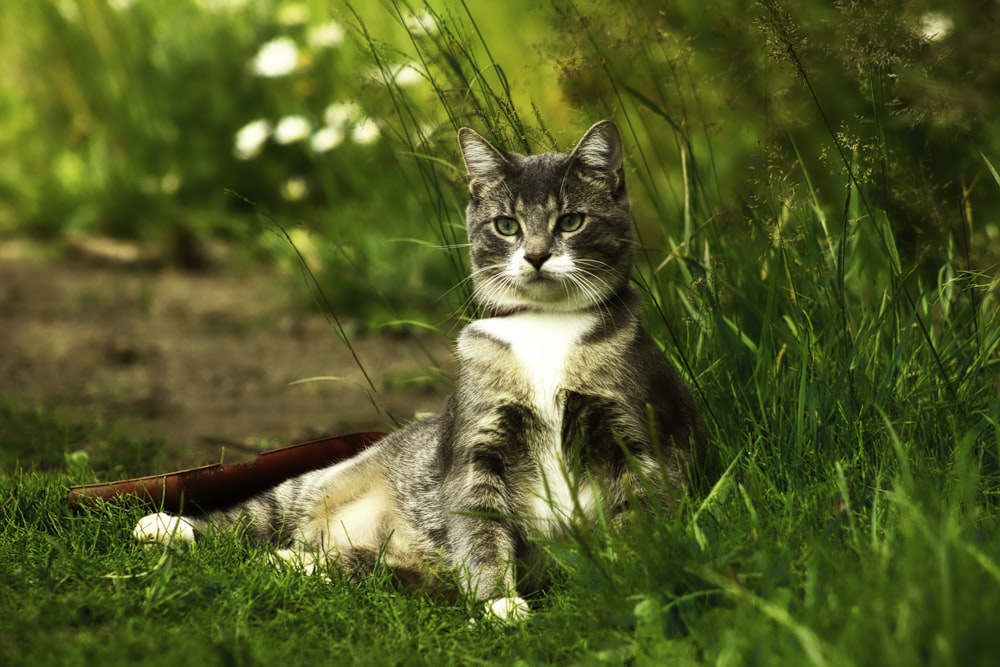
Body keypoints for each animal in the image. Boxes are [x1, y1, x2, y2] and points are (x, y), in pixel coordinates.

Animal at [135, 121, 712, 628]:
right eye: (507, 225)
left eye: (571, 221)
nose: (537, 255)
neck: (545, 327)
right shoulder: (478, 444)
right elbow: (480, 527)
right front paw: (498, 604)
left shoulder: (631, 434)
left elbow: (640, 514)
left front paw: (637, 584)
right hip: (312, 483)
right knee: (255, 517)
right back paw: (168, 526)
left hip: (385, 567)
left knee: (331, 563)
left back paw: (295, 562)